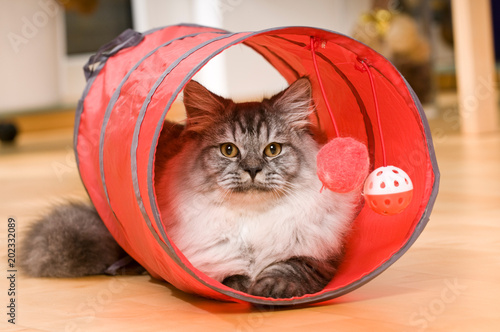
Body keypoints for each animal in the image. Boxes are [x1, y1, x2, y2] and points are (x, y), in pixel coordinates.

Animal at [20, 78, 364, 298]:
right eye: (229, 150)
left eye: (272, 150)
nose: (253, 170)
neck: (253, 219)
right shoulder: (204, 257)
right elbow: (228, 273)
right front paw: (241, 287)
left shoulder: (319, 256)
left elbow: (289, 267)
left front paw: (270, 289)